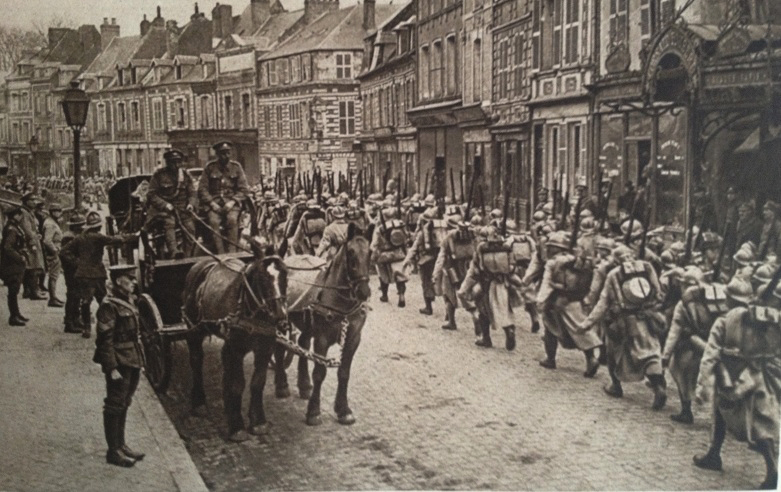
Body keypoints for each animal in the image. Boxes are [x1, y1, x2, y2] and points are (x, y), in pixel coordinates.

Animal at [181, 248, 288, 444]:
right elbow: (238, 384)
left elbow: (257, 383)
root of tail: (199, 263)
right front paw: (237, 427)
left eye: (285, 273)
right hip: (194, 330)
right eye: (262, 277)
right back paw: (198, 402)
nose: (280, 316)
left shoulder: (264, 349)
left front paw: (258, 422)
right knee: (196, 361)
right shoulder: (236, 350)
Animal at [274, 223, 372, 426]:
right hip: (281, 321)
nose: (363, 291)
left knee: (302, 345)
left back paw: (304, 386)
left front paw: (343, 409)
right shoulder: (322, 338)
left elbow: (344, 372)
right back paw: (282, 385)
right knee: (280, 348)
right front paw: (313, 411)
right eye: (350, 253)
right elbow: (319, 372)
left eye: (370, 252)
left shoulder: (353, 339)